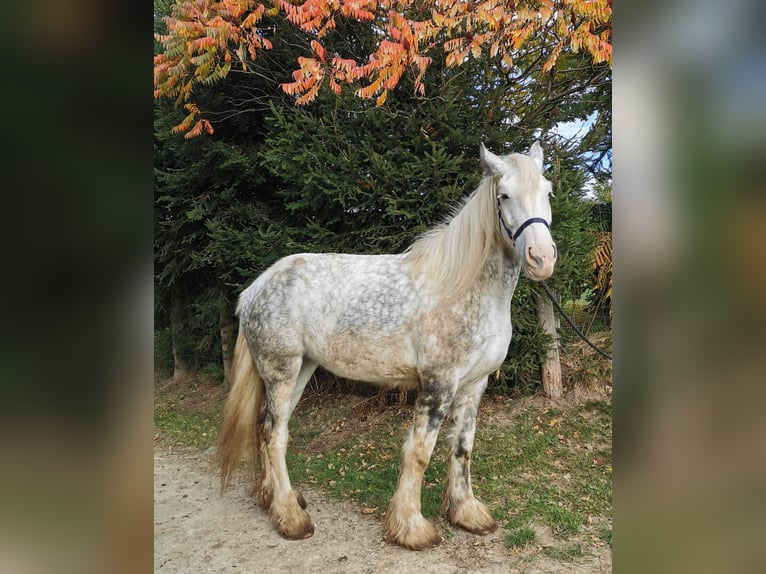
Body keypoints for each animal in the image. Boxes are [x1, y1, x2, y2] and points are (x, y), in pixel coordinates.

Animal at [217, 141, 557, 550]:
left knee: (267, 426)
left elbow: (462, 447)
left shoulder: (474, 384)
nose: (542, 258)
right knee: (274, 435)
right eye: (503, 195)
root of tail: (254, 289)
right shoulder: (438, 383)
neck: (463, 287)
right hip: (281, 371)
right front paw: (411, 528)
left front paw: (467, 514)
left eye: (548, 191)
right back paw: (291, 518)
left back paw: (276, 499)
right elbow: (420, 452)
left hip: (300, 370)